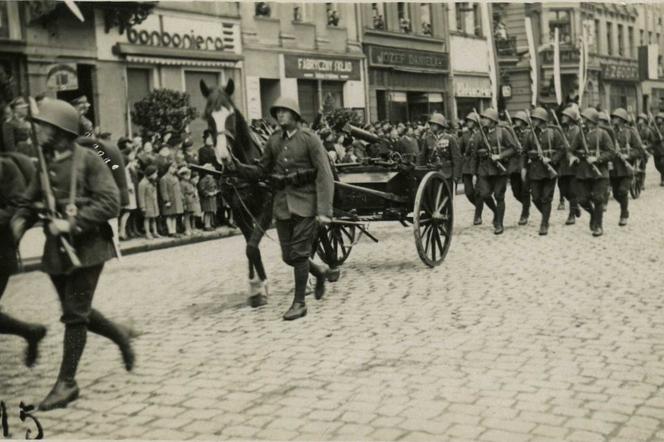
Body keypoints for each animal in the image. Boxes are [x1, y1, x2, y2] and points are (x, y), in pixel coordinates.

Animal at [198, 78, 272, 308]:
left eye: (230, 114)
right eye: (208, 115)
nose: (223, 155)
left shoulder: (267, 208)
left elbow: (253, 247)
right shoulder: (239, 211)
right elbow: (250, 247)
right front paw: (255, 287)